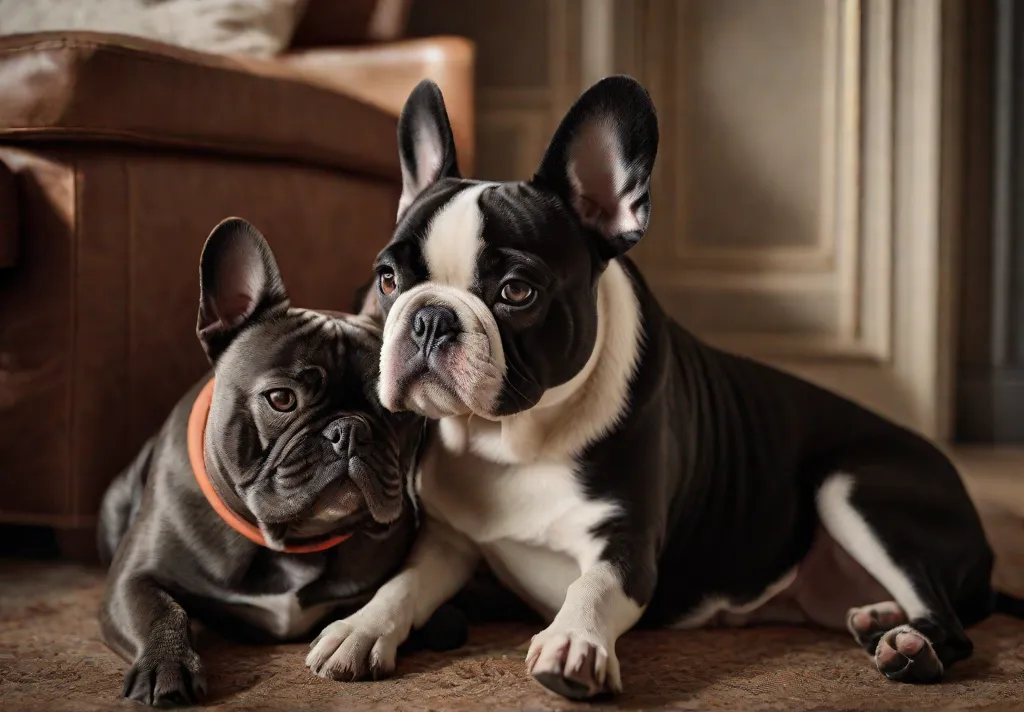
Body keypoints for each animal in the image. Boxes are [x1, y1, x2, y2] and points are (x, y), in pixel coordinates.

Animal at [96, 217, 464, 708]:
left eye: (396, 411)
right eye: (282, 399)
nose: (349, 430)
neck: (289, 542)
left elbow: (421, 605)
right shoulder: (133, 580)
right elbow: (162, 611)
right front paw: (166, 665)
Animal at [305, 76, 1024, 696]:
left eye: (516, 292)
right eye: (389, 279)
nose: (430, 317)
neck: (509, 441)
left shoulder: (626, 546)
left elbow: (591, 588)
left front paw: (573, 642)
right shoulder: (451, 542)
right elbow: (403, 583)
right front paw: (359, 628)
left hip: (853, 486)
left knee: (952, 625)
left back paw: (909, 645)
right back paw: (879, 616)